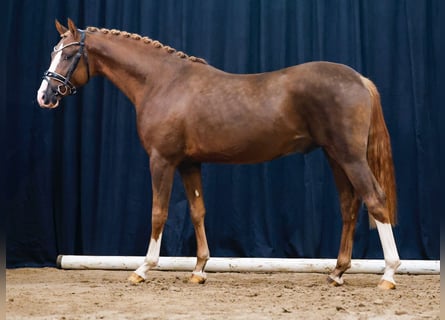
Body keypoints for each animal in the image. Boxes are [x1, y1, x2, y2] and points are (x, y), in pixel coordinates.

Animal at [37, 20, 398, 290]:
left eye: (69, 55)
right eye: (53, 52)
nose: (45, 95)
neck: (162, 82)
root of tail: (359, 79)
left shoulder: (161, 161)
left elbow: (159, 213)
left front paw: (143, 269)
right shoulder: (189, 164)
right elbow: (198, 211)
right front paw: (198, 269)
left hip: (350, 157)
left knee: (375, 199)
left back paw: (389, 274)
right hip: (336, 157)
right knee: (349, 206)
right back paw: (337, 273)